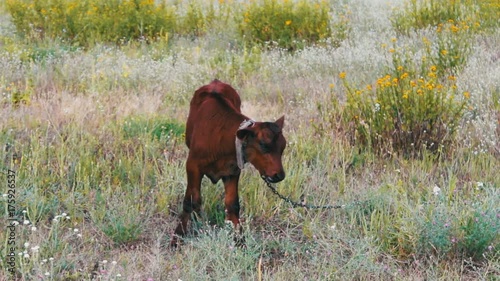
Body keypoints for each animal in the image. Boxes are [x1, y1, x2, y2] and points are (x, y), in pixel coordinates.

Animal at [170, 79, 286, 245]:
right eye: (263, 144)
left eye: (283, 146)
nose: (279, 175)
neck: (220, 140)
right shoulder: (192, 166)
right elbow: (190, 201)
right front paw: (178, 235)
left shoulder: (232, 170)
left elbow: (232, 205)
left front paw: (240, 239)